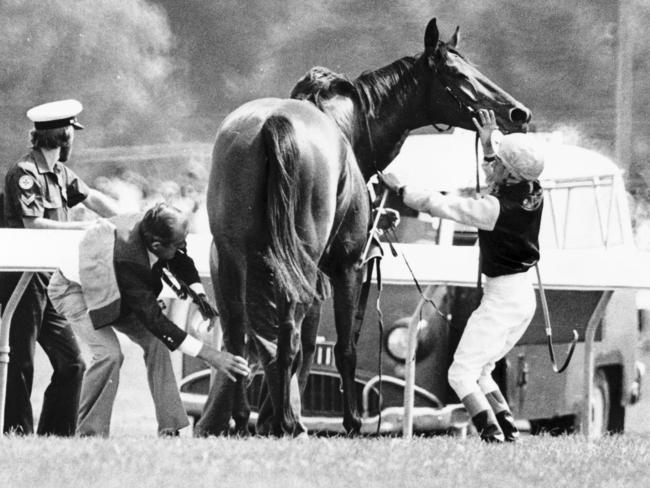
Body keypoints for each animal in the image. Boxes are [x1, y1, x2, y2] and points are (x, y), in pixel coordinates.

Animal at [195, 18, 528, 438]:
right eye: (457, 74)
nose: (518, 114)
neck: (345, 130)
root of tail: (274, 124)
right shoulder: (346, 266)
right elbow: (342, 346)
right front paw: (348, 421)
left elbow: (301, 340)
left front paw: (269, 415)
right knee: (287, 333)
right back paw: (287, 421)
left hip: (231, 259)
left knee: (242, 335)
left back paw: (243, 418)